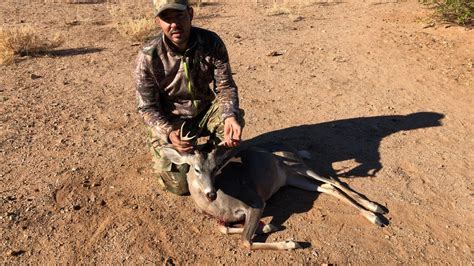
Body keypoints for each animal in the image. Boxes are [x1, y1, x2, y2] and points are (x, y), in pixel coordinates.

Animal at [161, 125, 386, 250]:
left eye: (216, 168)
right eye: (196, 169)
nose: (211, 193)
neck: (219, 204)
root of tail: (289, 147)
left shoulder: (256, 202)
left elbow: (245, 241)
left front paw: (291, 243)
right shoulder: (224, 218)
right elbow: (225, 229)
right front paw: (270, 227)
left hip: (297, 165)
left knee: (334, 181)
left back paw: (375, 211)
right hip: (292, 179)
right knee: (327, 187)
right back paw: (374, 211)